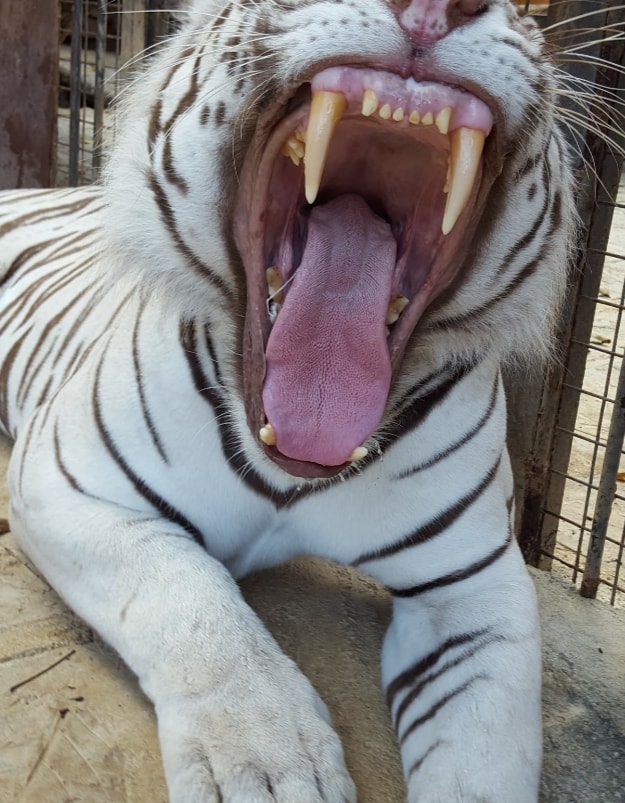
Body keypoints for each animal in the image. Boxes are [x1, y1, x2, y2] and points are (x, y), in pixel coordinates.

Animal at [0, 0, 579, 800]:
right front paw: (269, 762)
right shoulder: (71, 483)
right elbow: (192, 597)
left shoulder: (477, 585)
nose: (435, 8)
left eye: (531, 10)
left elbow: (485, 756)